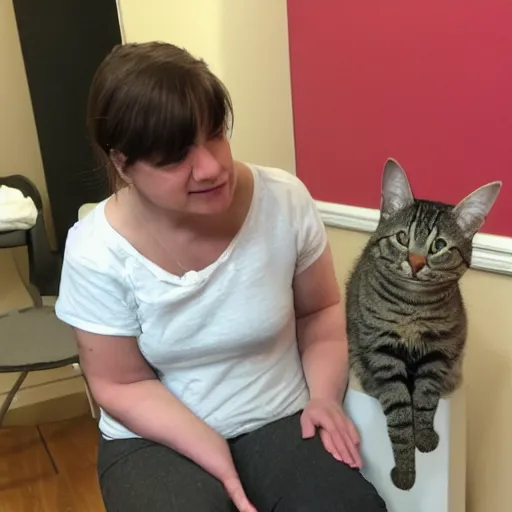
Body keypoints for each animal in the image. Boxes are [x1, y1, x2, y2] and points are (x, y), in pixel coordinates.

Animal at [346, 158, 502, 490]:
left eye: (439, 245)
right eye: (403, 238)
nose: (416, 263)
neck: (412, 307)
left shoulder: (439, 350)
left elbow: (426, 397)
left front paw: (427, 436)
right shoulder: (383, 352)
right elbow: (399, 415)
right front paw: (405, 472)